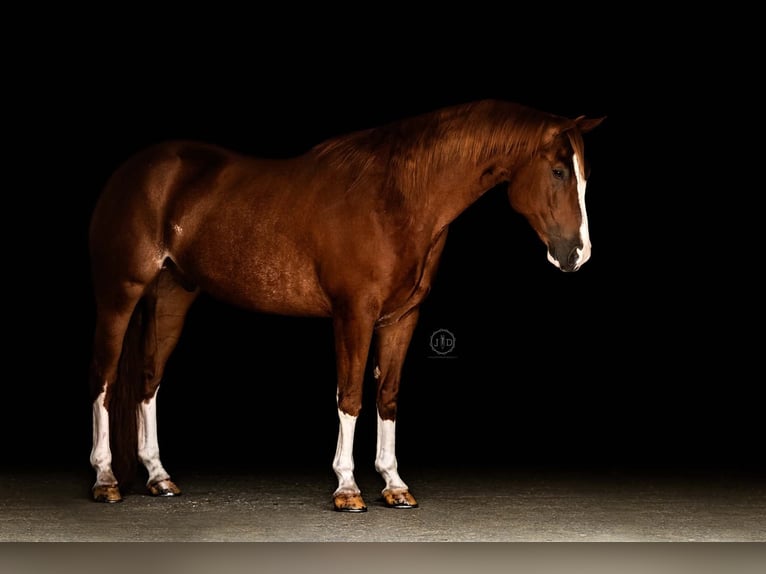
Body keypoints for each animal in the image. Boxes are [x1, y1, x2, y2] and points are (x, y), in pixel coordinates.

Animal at [87, 99, 605, 512]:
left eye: (583, 175)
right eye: (559, 170)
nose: (577, 255)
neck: (396, 198)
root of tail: (134, 171)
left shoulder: (401, 319)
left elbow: (388, 397)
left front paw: (395, 485)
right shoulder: (353, 314)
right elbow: (351, 397)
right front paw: (348, 489)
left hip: (172, 296)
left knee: (148, 381)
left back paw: (159, 478)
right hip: (119, 293)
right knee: (105, 381)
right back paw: (106, 480)